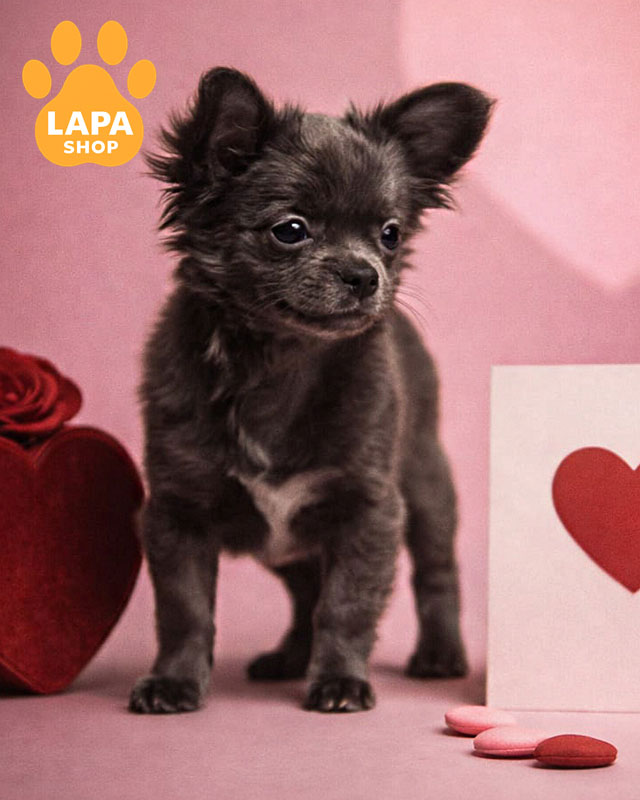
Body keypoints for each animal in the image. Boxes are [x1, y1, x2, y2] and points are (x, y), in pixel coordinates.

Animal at [129, 67, 492, 714]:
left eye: (390, 234)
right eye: (290, 230)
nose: (365, 275)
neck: (280, 364)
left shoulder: (369, 511)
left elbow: (346, 605)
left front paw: (341, 681)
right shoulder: (177, 513)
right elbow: (183, 610)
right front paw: (173, 682)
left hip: (427, 487)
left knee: (435, 574)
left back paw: (439, 654)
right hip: (289, 545)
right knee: (303, 593)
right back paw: (289, 659)